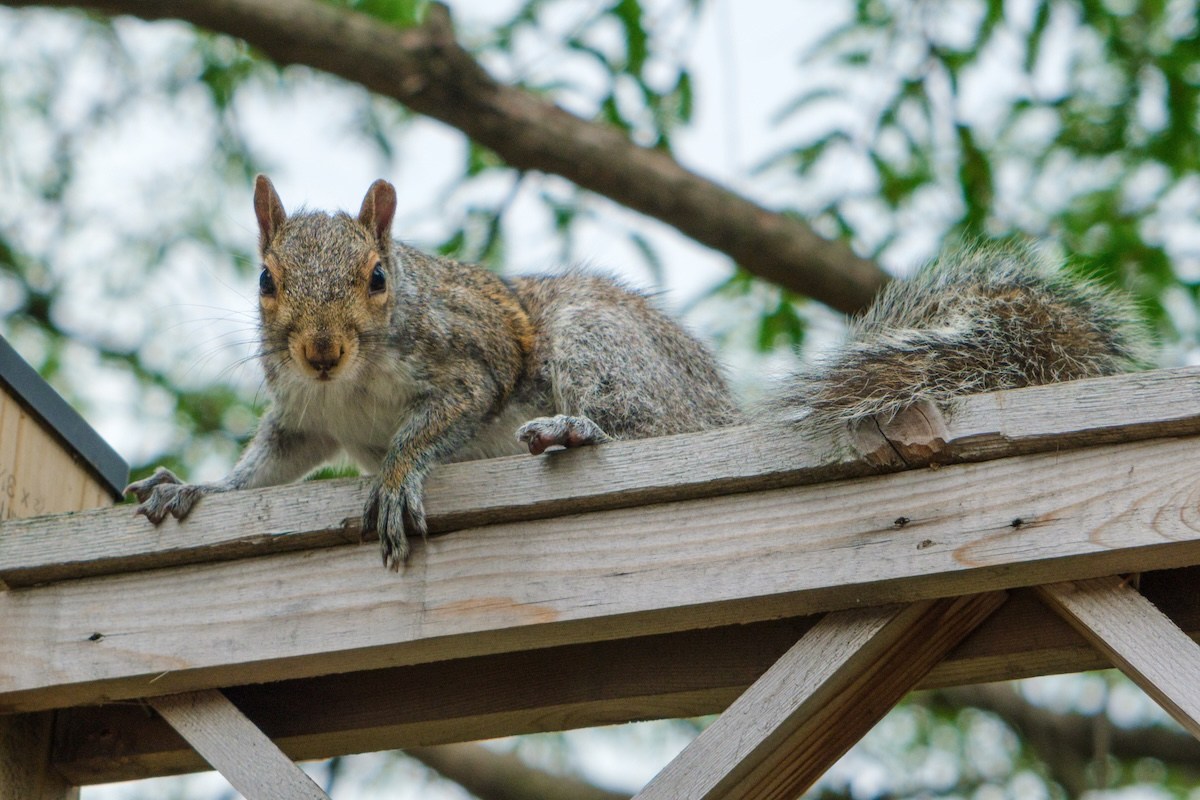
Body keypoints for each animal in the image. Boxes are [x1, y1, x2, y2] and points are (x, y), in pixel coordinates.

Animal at [126, 175, 741, 570]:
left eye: (377, 277)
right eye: (264, 280)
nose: (322, 352)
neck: (348, 386)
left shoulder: (472, 367)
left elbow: (431, 426)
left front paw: (396, 478)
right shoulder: (305, 418)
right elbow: (267, 465)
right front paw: (195, 486)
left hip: (600, 343)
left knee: (653, 427)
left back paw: (575, 429)